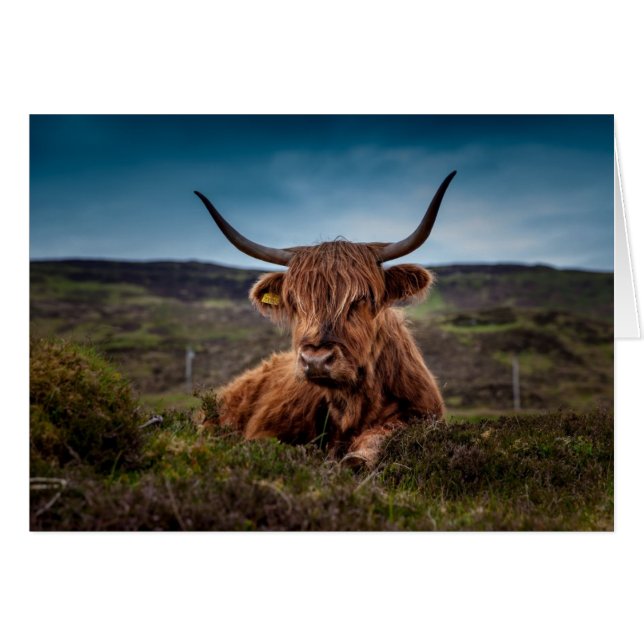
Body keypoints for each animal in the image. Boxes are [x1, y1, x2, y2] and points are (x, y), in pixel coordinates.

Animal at [194, 171, 456, 468]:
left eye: (361, 298)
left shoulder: (421, 415)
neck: (352, 404)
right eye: (296, 302)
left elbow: (383, 434)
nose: (316, 360)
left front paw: (357, 457)